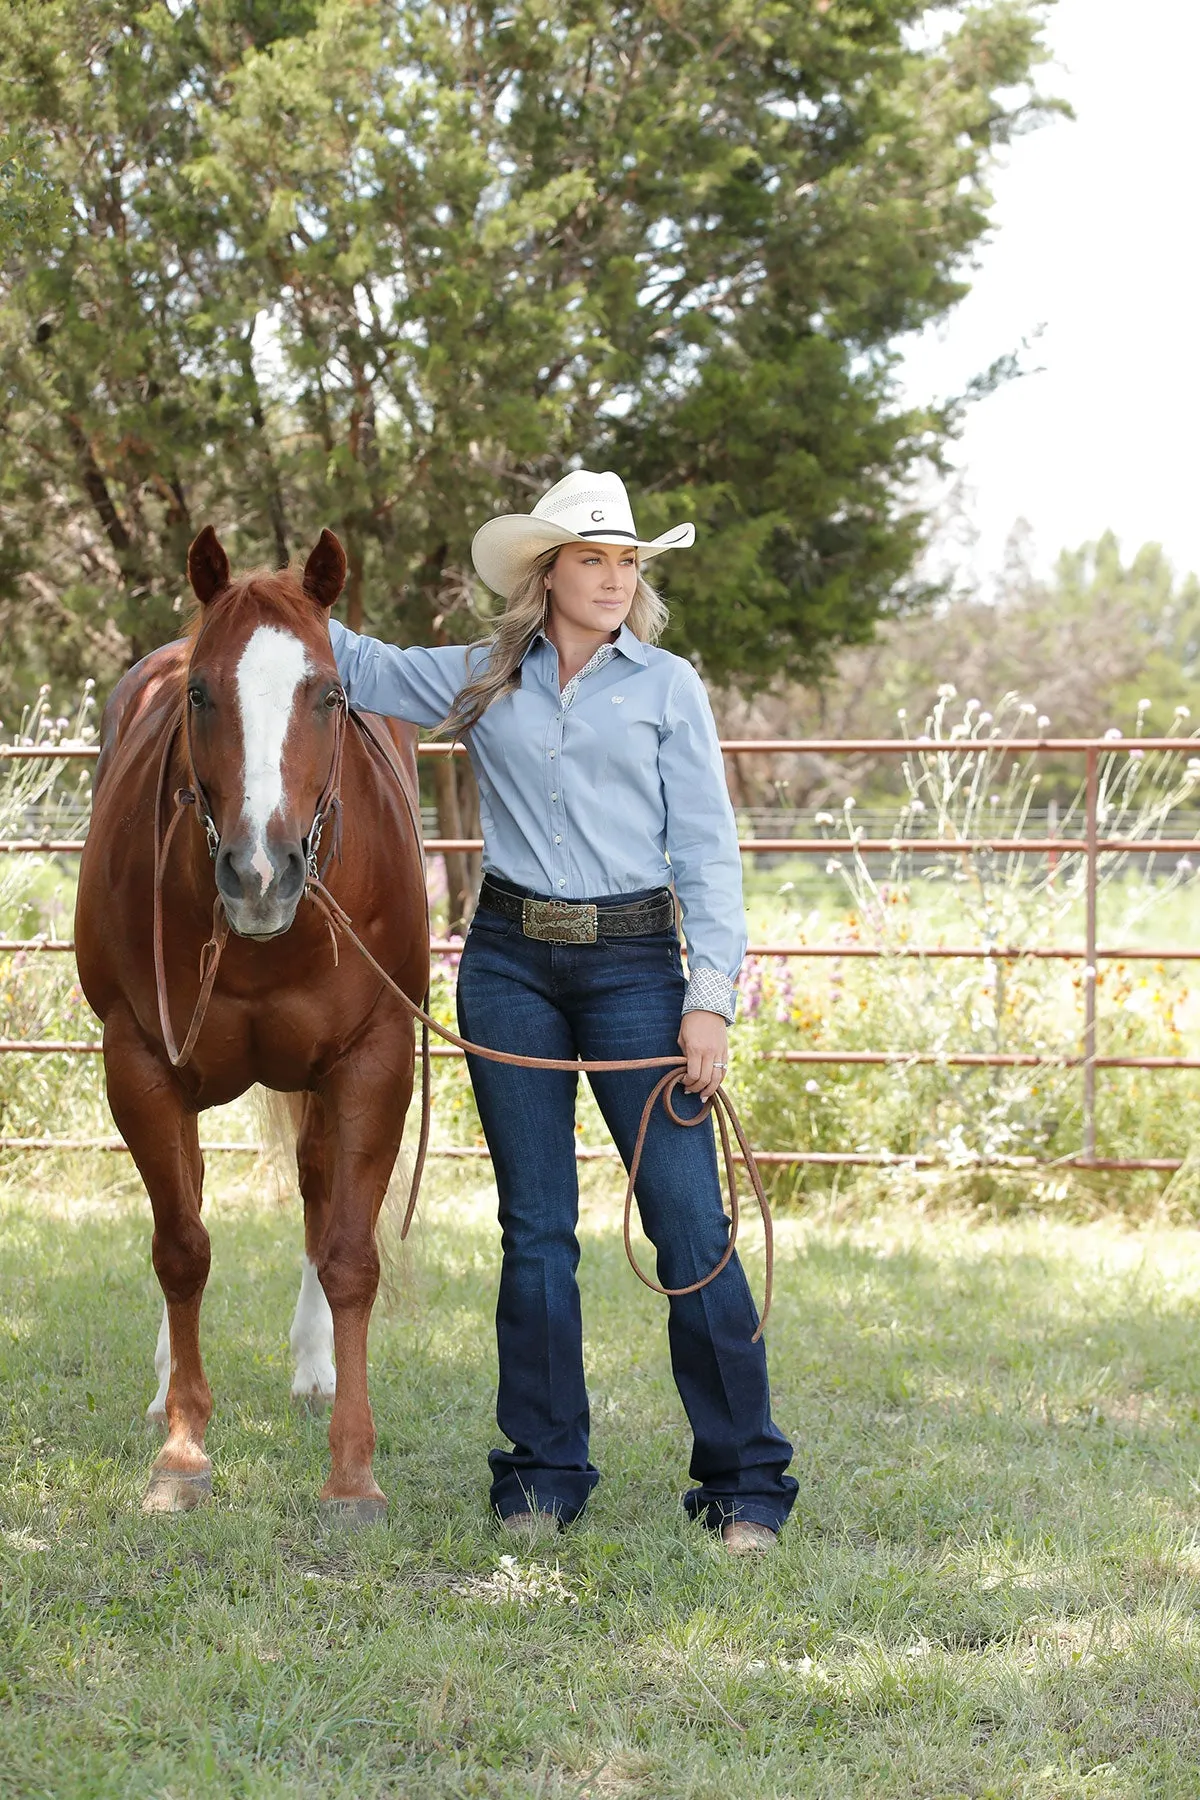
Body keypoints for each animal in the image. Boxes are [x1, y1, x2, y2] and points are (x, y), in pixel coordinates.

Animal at [76, 525, 431, 1519]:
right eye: (201, 693)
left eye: (330, 695)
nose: (259, 872)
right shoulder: (142, 1063)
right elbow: (182, 1249)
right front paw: (182, 1451)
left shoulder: (373, 1063)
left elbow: (349, 1256)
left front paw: (352, 1473)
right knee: (188, 1203)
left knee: (315, 1193)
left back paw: (313, 1370)